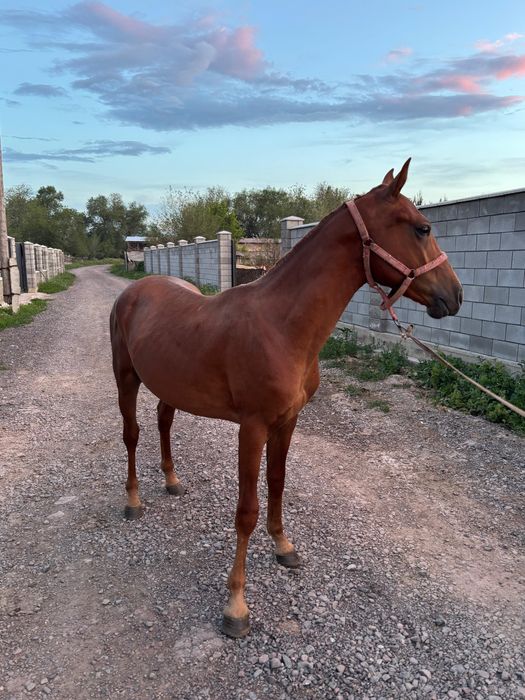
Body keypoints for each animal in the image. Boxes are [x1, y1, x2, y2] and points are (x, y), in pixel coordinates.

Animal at [110, 160, 462, 638]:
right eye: (422, 228)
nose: (455, 295)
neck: (281, 325)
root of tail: (134, 289)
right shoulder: (253, 427)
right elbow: (247, 509)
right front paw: (236, 605)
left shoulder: (288, 421)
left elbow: (277, 483)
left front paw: (283, 545)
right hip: (125, 377)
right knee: (132, 433)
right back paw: (133, 501)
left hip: (171, 385)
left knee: (164, 421)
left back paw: (171, 480)